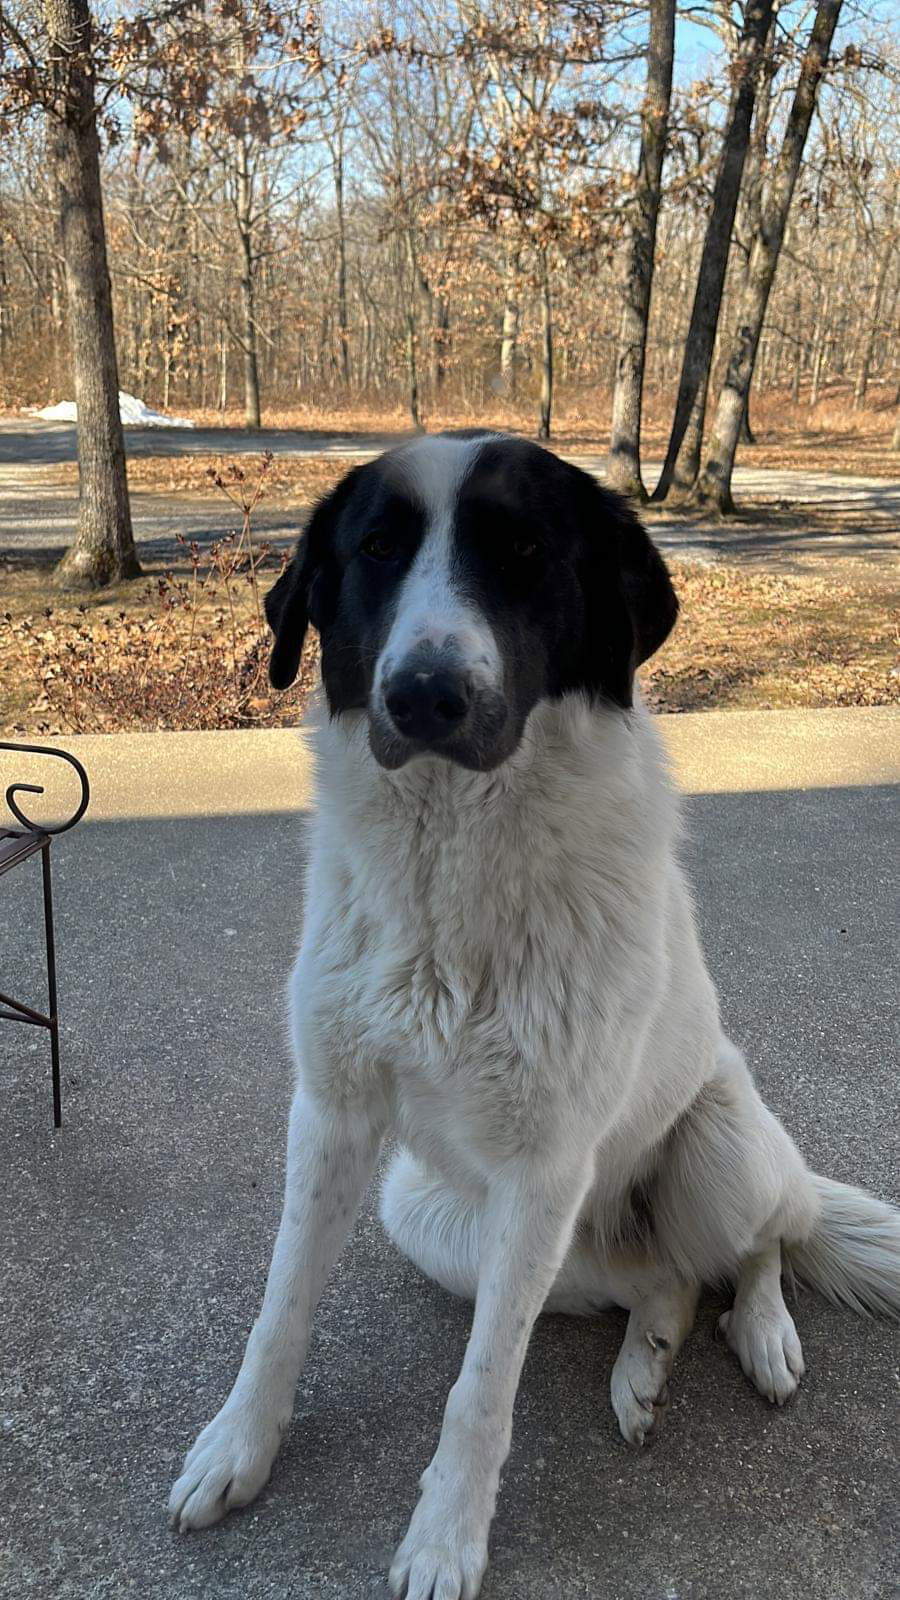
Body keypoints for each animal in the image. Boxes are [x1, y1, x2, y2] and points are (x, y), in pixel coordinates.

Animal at [169, 438, 896, 1600]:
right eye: (377, 550)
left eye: (523, 553)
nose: (425, 696)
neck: (450, 859)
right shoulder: (331, 1116)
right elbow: (279, 1309)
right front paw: (238, 1448)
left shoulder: (542, 1166)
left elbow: (482, 1386)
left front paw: (444, 1540)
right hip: (441, 1221)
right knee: (664, 1280)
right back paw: (643, 1368)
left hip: (716, 1153)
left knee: (758, 1247)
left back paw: (766, 1333)